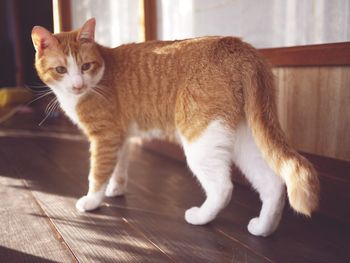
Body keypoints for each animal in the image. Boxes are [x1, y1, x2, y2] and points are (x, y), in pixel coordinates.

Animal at [32, 18, 320, 237]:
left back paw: (200, 217)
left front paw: (92, 201)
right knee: (273, 183)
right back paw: (263, 228)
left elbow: (98, 173)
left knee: (223, 188)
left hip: (201, 139)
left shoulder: (105, 137)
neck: (99, 77)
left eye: (85, 66)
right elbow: (119, 166)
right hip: (242, 139)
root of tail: (238, 45)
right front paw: (116, 190)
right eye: (60, 70)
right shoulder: (120, 137)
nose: (77, 85)